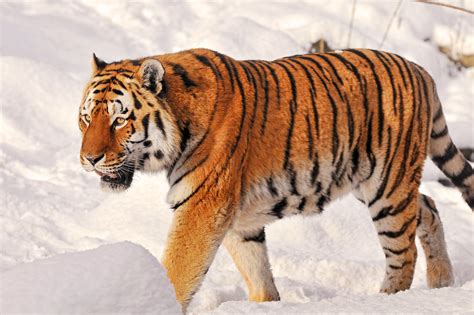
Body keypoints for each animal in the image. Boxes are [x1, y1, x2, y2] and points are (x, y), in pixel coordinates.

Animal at [79, 48, 472, 312]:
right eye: (86, 119)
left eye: (119, 120)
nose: (89, 159)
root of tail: (420, 70)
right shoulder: (235, 215)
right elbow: (257, 269)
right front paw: (265, 304)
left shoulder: (203, 206)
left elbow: (178, 268)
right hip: (377, 181)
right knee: (430, 206)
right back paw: (441, 283)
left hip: (387, 187)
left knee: (403, 254)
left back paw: (390, 300)